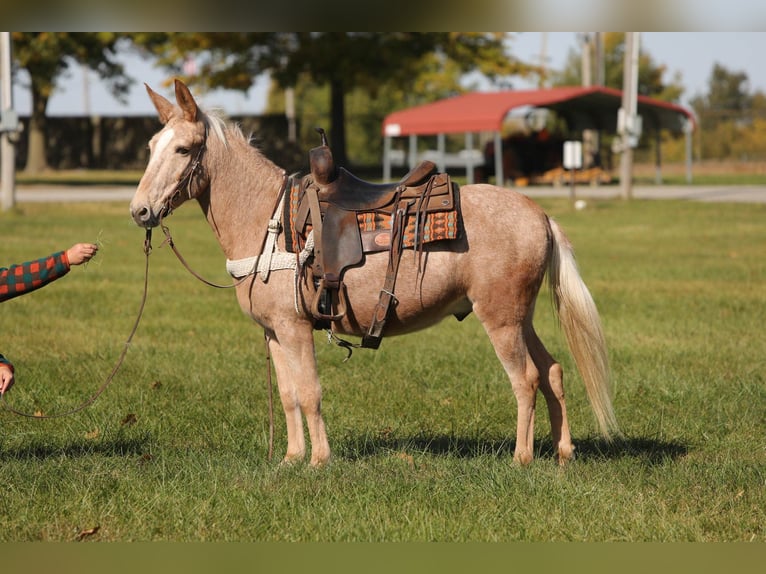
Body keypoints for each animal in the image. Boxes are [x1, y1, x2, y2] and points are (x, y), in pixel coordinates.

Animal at [130, 80, 624, 468]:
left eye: (183, 149)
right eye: (151, 147)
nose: (140, 211)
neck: (268, 221)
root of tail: (540, 214)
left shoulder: (294, 328)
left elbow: (309, 391)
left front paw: (318, 461)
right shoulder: (274, 333)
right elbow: (289, 395)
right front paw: (291, 459)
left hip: (501, 319)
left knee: (526, 379)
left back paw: (522, 458)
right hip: (522, 317)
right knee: (553, 370)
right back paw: (563, 451)